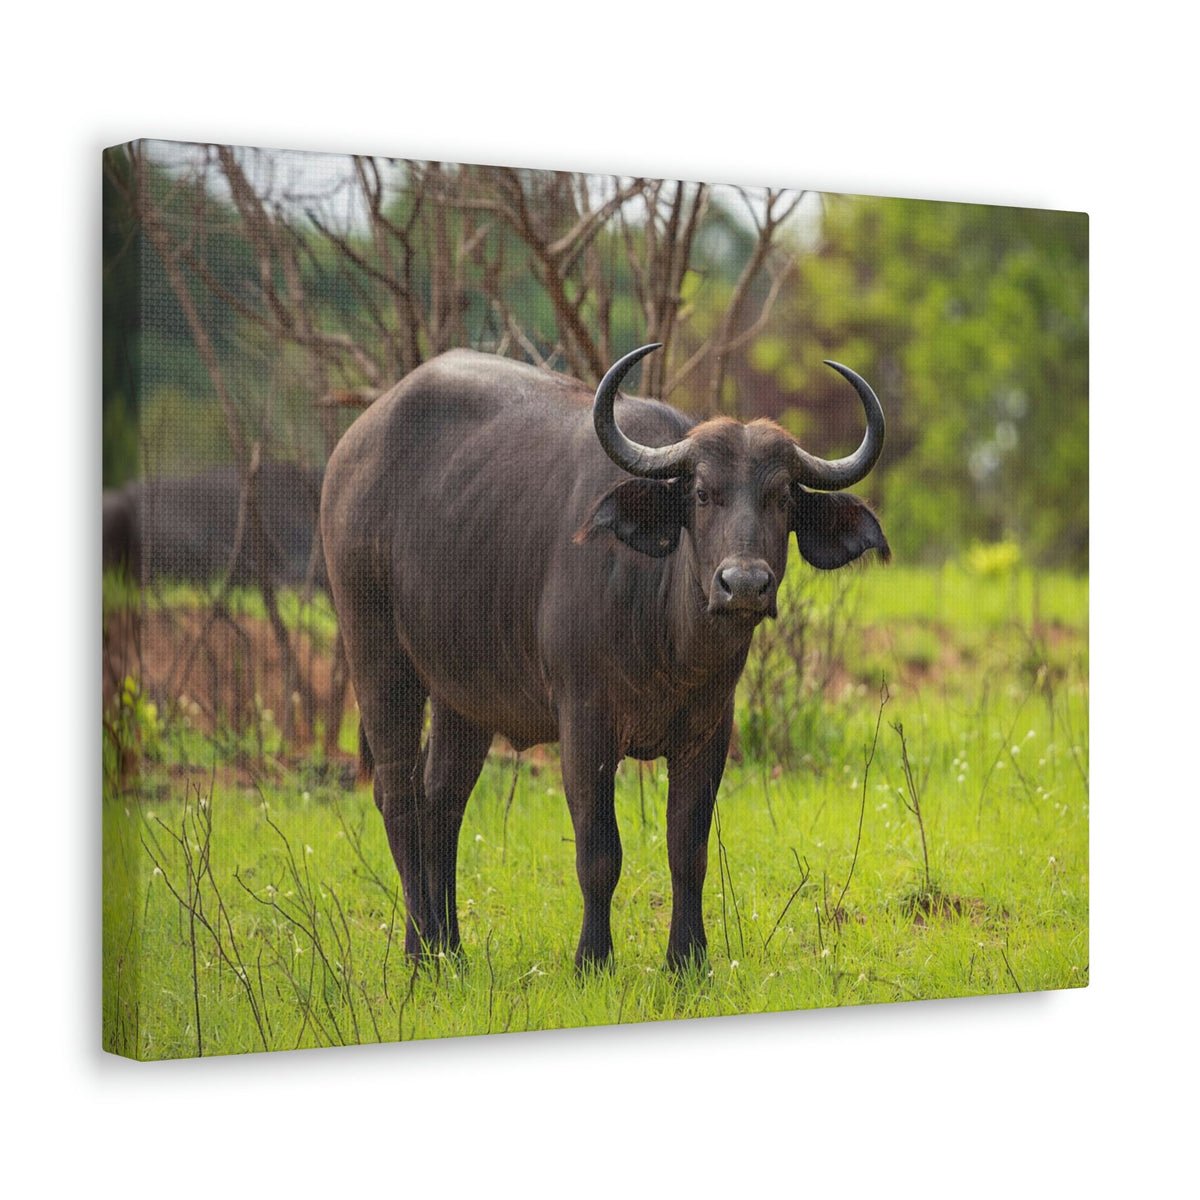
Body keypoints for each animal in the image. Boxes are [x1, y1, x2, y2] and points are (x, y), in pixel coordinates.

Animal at [320, 344, 889, 971]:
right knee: (397, 796)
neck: (670, 642)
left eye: (783, 497)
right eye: (701, 494)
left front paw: (687, 960)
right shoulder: (584, 724)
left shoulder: (709, 731)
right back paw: (421, 952)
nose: (744, 585)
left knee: (440, 799)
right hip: (376, 652)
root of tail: (352, 449)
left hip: (462, 695)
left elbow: (687, 848)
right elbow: (598, 851)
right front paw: (592, 958)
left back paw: (449, 950)